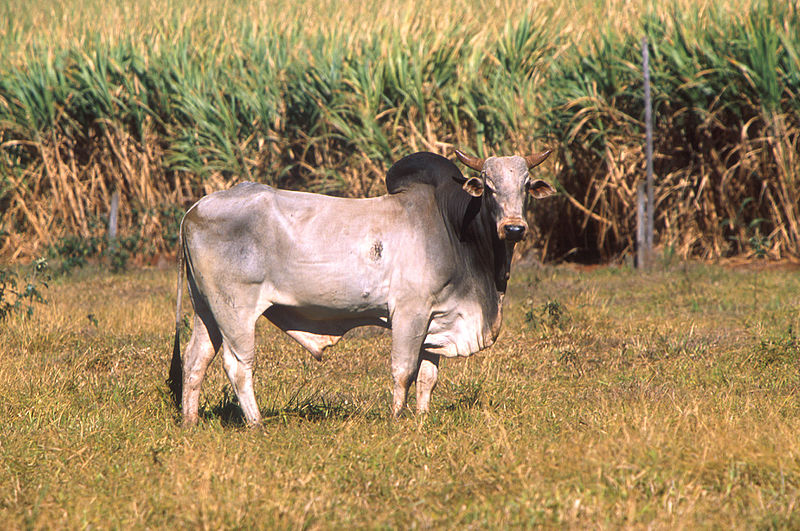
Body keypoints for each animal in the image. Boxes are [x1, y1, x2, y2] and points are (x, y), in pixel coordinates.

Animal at [169, 148, 556, 426]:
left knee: (195, 359)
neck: (453, 227)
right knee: (238, 365)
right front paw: (397, 420)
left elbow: (427, 378)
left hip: (206, 309)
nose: (514, 228)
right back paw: (256, 423)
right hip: (235, 309)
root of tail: (195, 208)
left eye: (525, 187)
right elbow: (403, 371)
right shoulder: (410, 313)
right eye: (489, 188)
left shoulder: (438, 318)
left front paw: (421, 420)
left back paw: (190, 422)